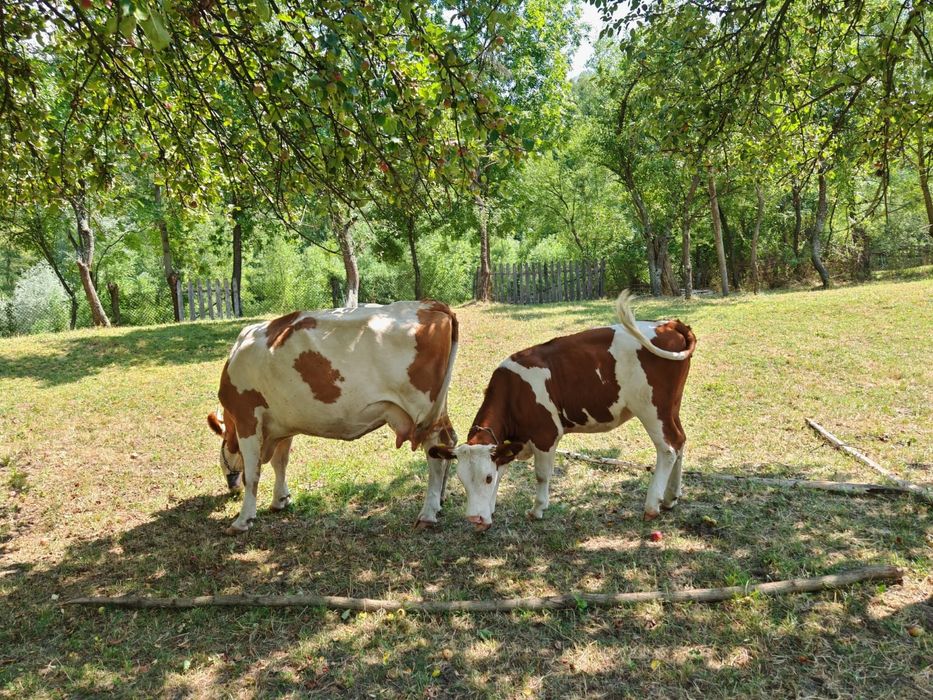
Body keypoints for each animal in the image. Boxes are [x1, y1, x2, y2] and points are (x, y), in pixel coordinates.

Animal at [207, 300, 458, 534]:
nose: (231, 488)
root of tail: (430, 304)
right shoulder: (283, 423)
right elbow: (281, 463)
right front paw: (280, 500)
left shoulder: (247, 419)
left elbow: (252, 474)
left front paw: (242, 520)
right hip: (438, 409)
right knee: (449, 442)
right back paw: (441, 499)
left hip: (422, 411)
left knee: (435, 453)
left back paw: (428, 513)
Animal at [429, 291, 696, 531]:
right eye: (461, 479)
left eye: (487, 477)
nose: (474, 519)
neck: (513, 391)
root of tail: (668, 324)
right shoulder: (509, 443)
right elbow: (503, 468)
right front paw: (491, 508)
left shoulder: (545, 435)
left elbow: (541, 475)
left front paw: (537, 509)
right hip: (671, 406)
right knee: (680, 439)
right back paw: (671, 497)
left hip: (652, 407)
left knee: (668, 448)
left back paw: (652, 505)